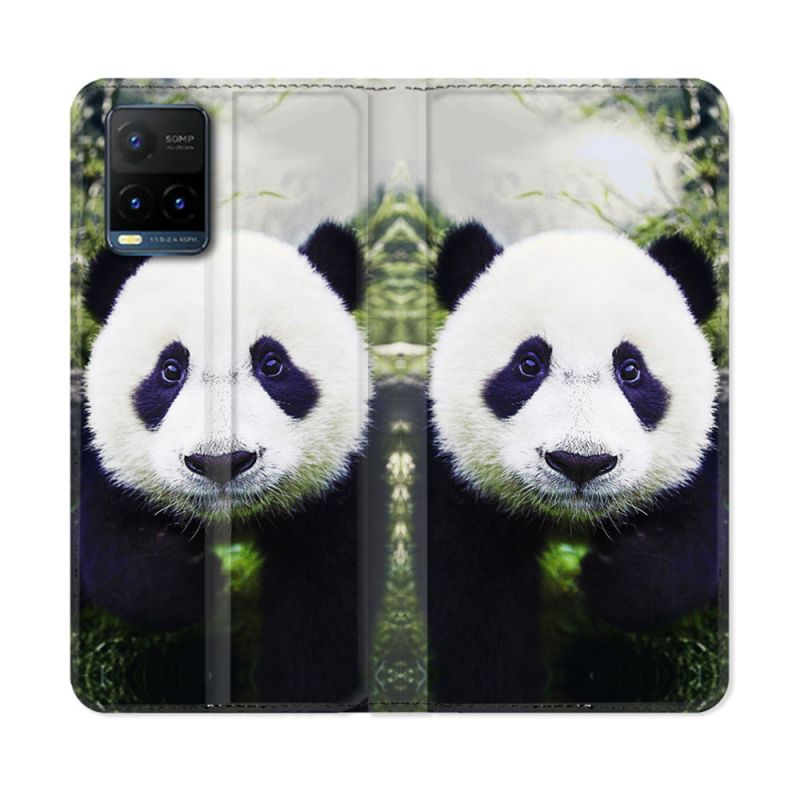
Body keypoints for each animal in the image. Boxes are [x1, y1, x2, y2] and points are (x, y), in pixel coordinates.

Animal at [78, 222, 370, 706]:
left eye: (272, 364)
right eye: (170, 370)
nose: (220, 462)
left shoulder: (338, 490)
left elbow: (326, 602)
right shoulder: (107, 467)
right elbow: (111, 548)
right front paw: (195, 579)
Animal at [428, 222, 723, 707]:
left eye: (631, 369)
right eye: (528, 364)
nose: (580, 463)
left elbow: (699, 536)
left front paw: (611, 580)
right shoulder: (461, 488)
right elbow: (477, 606)